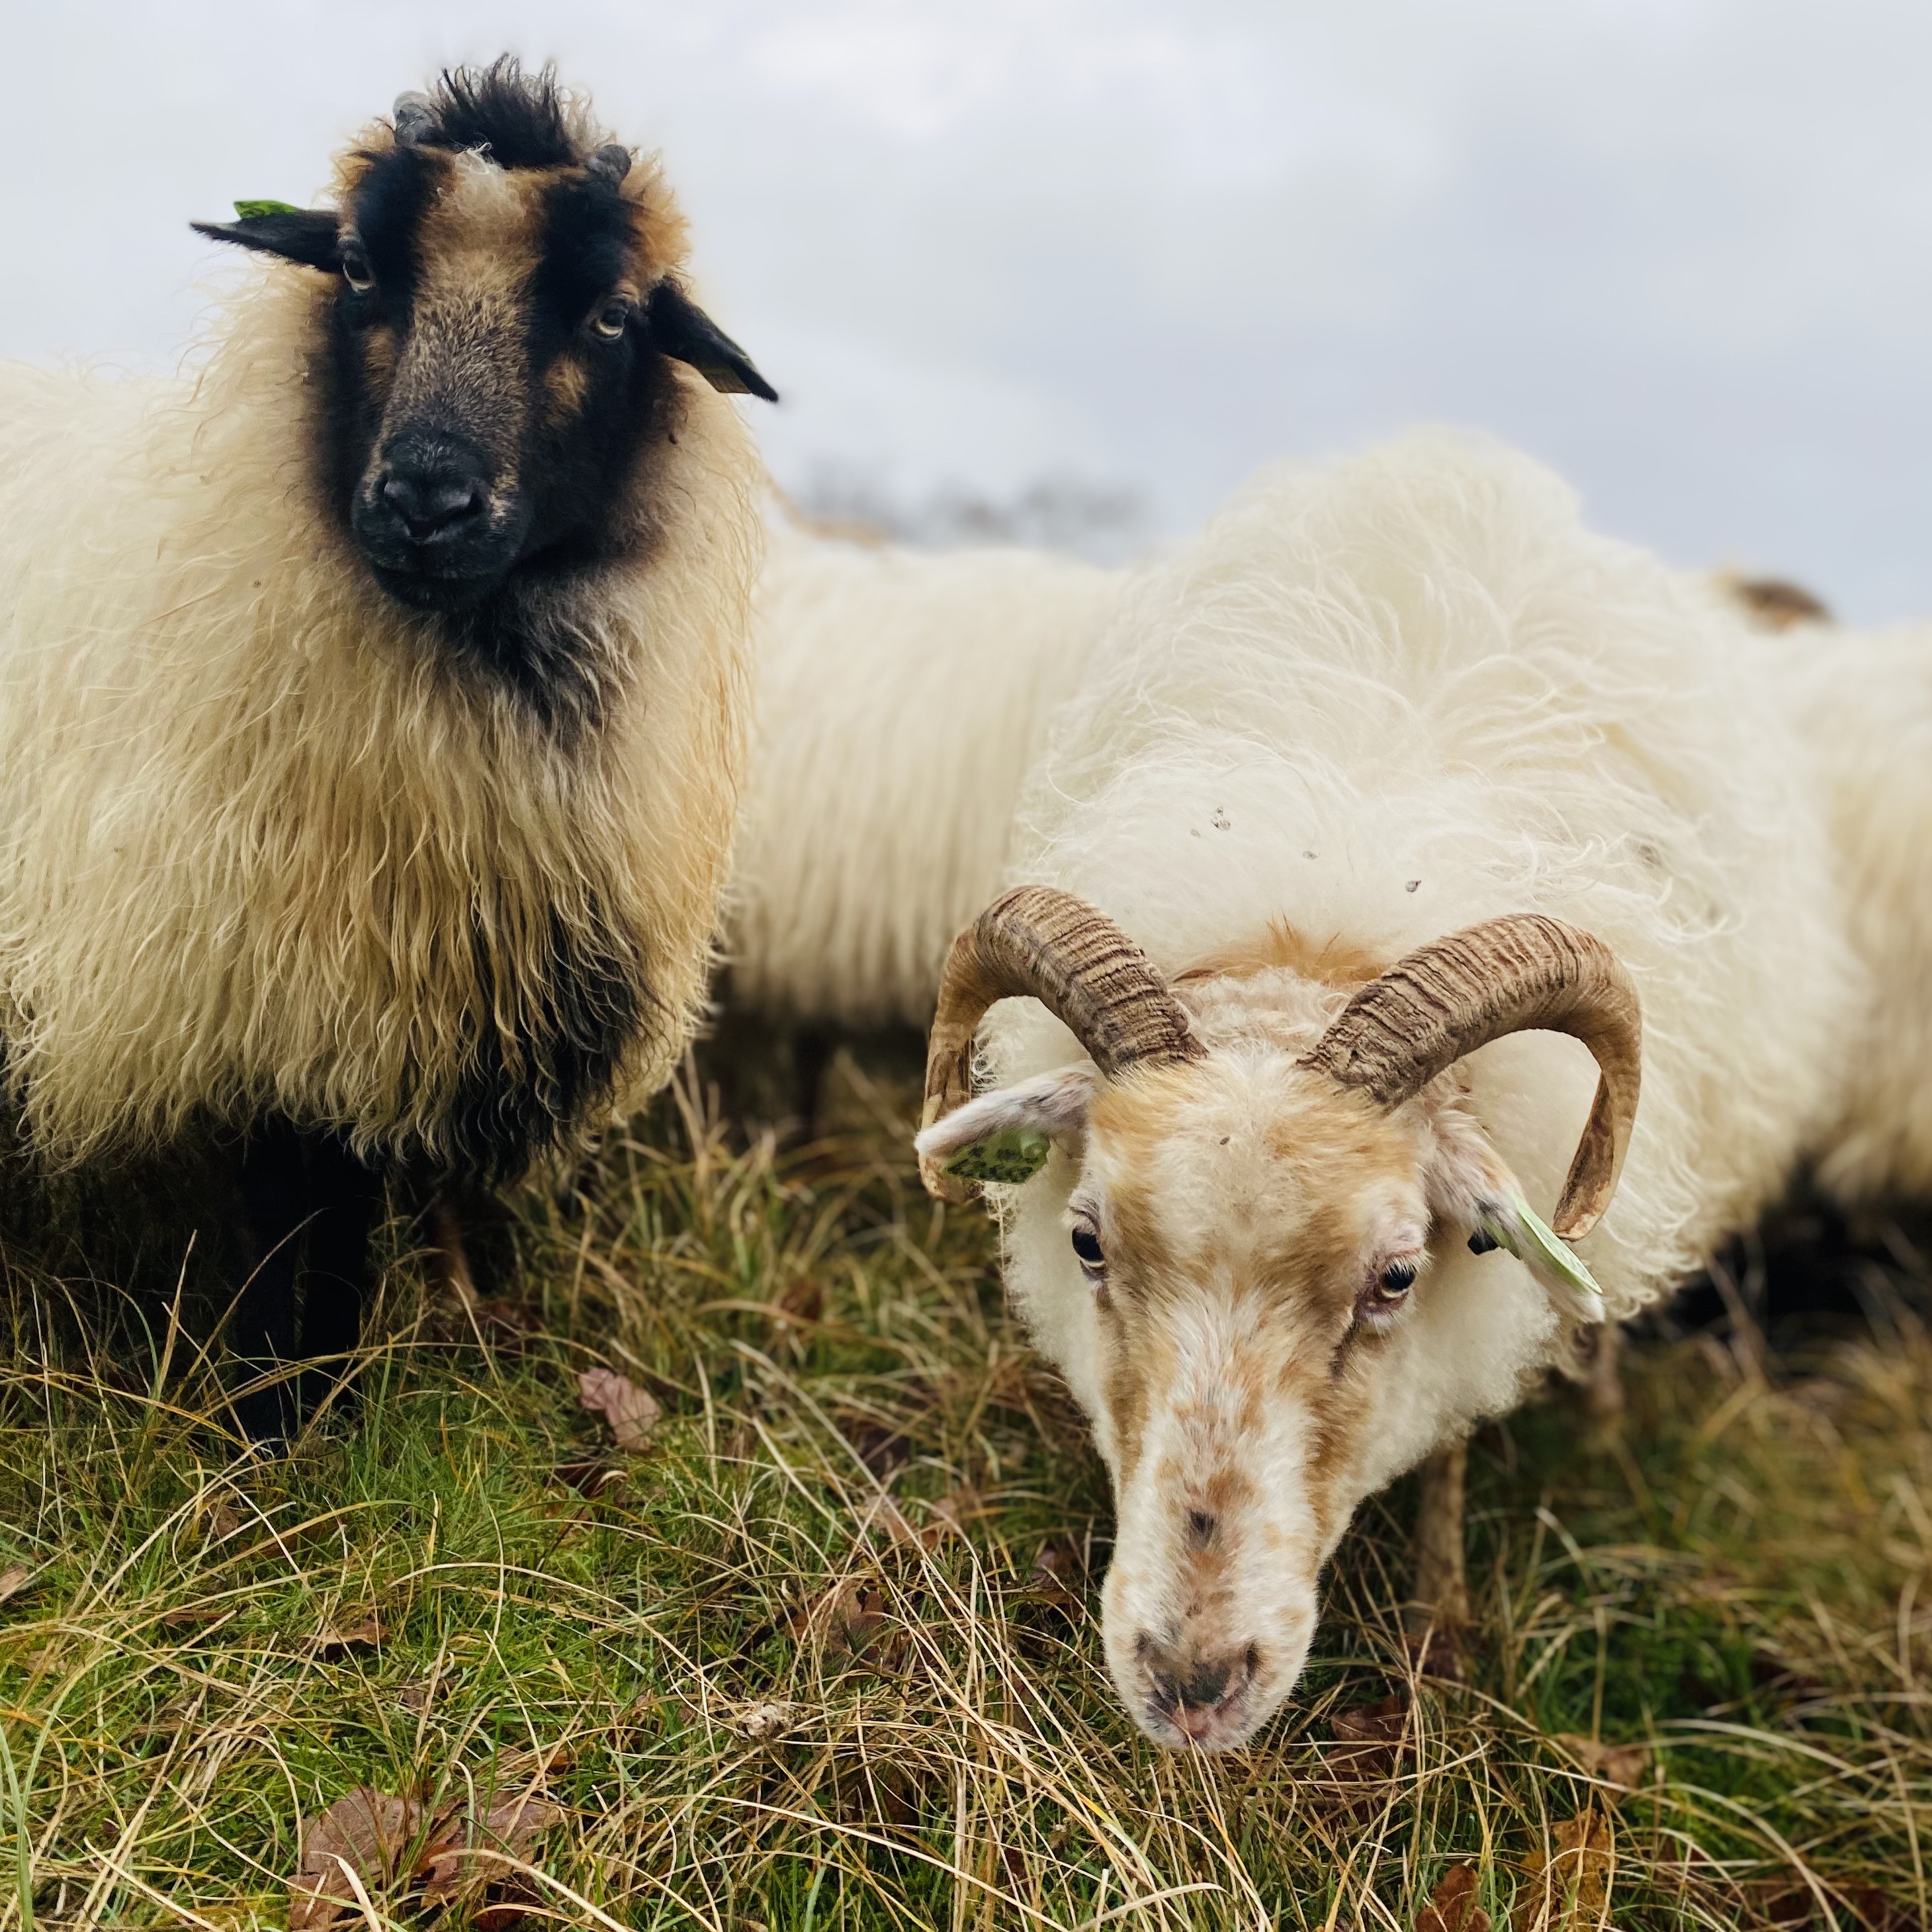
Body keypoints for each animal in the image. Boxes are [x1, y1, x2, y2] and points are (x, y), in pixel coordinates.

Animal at [0, 60, 776, 1445]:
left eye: (614, 315)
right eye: (360, 266)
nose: (427, 502)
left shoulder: (398, 1009)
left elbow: (348, 1234)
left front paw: (332, 1402)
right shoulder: (270, 999)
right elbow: (285, 1236)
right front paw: (271, 1427)